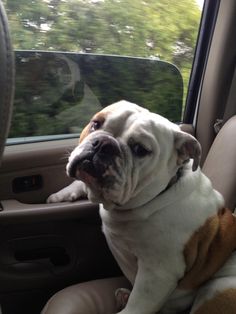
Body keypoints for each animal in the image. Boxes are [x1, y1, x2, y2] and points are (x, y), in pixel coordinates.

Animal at [47, 101, 236, 314]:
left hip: (219, 288)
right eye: (96, 123)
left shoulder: (157, 273)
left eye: (140, 149)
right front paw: (60, 195)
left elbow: (137, 305)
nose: (104, 144)